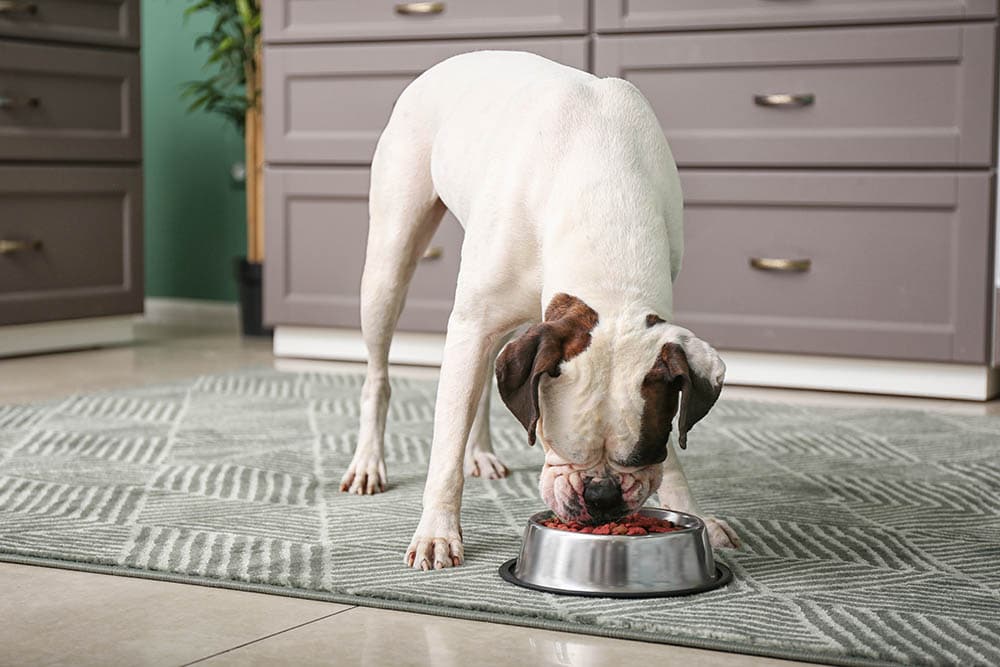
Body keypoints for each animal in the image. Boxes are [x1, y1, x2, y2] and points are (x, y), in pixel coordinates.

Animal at [340, 53, 740, 576]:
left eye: (642, 454)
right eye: (558, 446)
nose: (602, 496)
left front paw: (694, 514)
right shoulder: (472, 325)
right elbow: (444, 448)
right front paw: (437, 533)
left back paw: (480, 453)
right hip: (389, 265)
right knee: (380, 375)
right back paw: (369, 462)